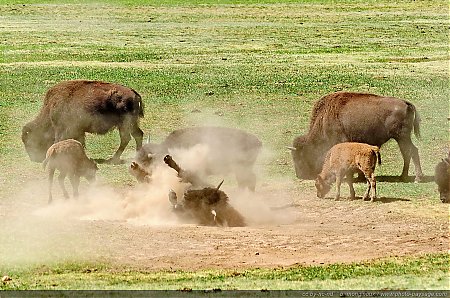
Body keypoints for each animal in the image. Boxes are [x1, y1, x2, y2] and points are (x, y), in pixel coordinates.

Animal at [290, 92, 424, 183]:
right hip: (402, 138)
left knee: (412, 151)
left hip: (402, 137)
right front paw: (359, 177)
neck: (325, 119)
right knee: (407, 153)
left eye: (299, 156)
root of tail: (406, 103)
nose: (300, 175)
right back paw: (403, 176)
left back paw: (417, 178)